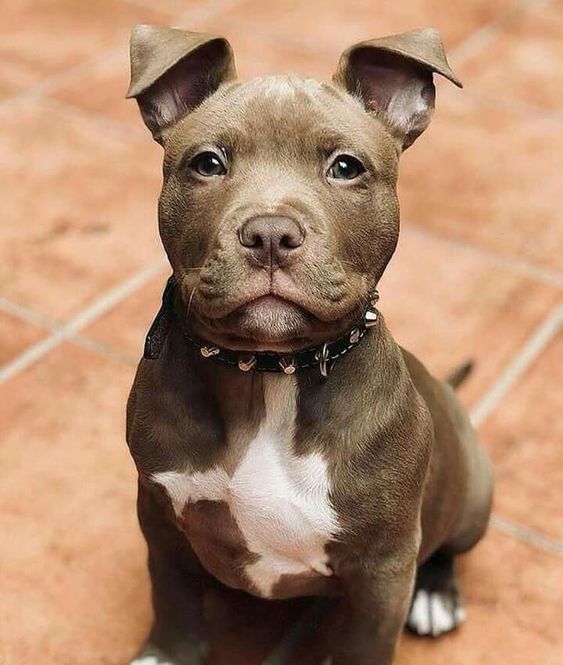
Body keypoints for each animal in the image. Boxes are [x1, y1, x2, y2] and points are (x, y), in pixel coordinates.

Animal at [126, 24, 494, 664]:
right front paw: (163, 654)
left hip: (474, 495)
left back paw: (436, 594)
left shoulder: (383, 570)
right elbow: (172, 599)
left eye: (346, 167)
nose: (270, 234)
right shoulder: (160, 518)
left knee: (447, 546)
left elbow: (364, 645)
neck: (269, 371)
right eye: (208, 163)